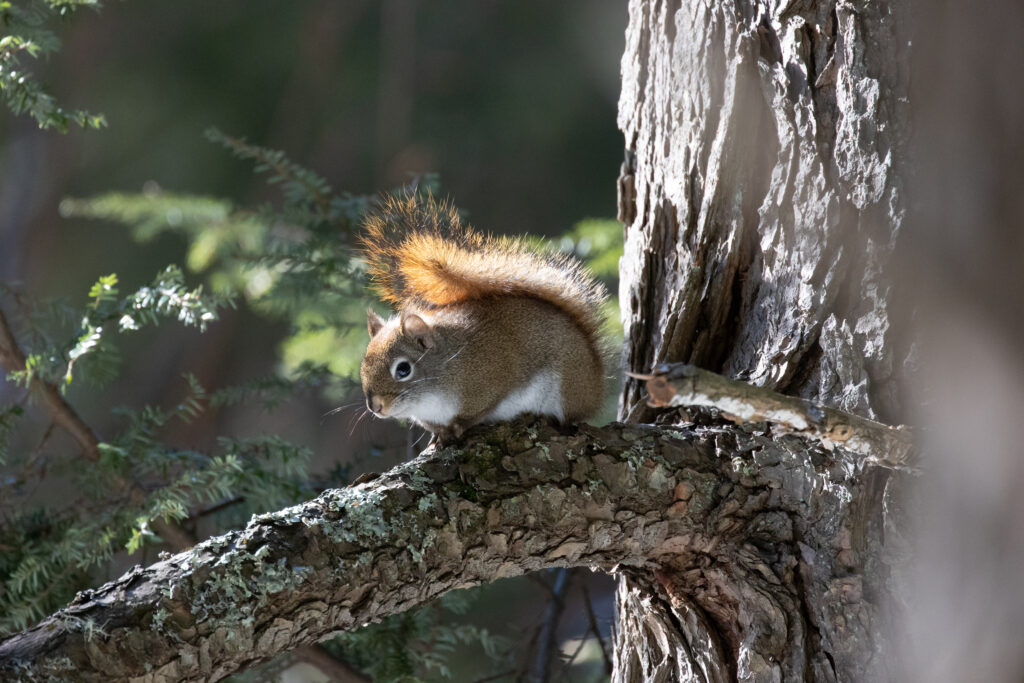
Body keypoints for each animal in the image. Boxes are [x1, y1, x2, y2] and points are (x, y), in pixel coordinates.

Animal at [358, 193, 606, 438]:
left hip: (567, 385)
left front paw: (459, 425)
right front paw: (439, 435)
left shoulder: (487, 379)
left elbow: (478, 410)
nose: (376, 407)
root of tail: (596, 384)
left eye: (403, 369)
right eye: (363, 366)